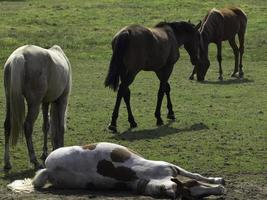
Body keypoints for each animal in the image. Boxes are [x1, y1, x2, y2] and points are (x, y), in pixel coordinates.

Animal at [7, 142, 226, 198]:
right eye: (190, 190)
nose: (221, 192)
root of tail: (48, 169)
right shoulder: (171, 167)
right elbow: (194, 174)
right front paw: (219, 181)